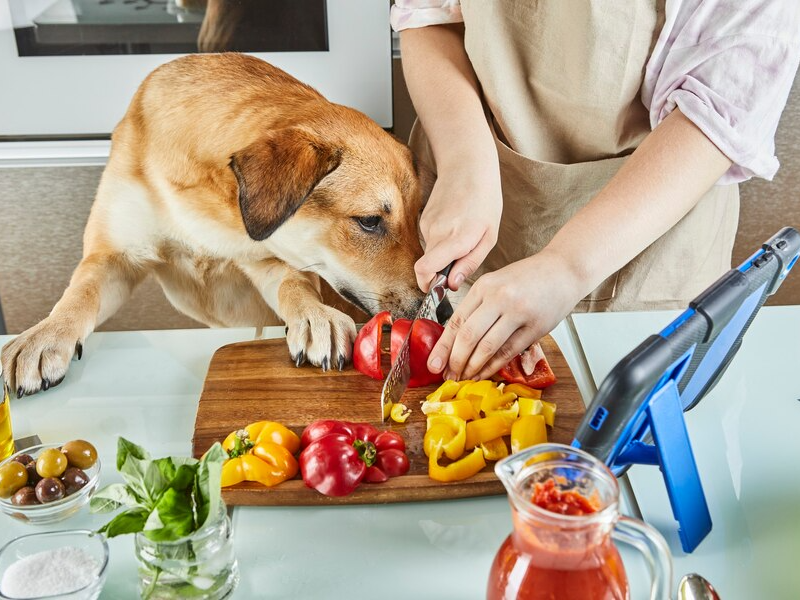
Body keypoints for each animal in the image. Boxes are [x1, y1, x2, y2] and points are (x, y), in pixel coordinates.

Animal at [1, 52, 432, 398]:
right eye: (369, 221)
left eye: (418, 218)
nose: (436, 308)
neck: (214, 210)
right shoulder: (114, 257)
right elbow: (80, 294)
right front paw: (45, 336)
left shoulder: (269, 261)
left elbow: (295, 286)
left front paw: (315, 316)